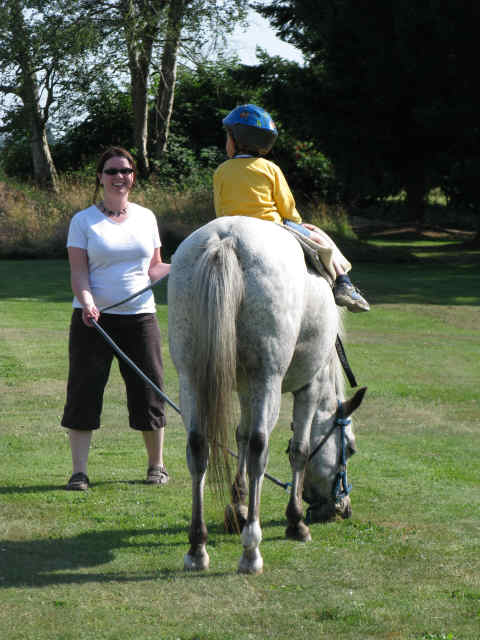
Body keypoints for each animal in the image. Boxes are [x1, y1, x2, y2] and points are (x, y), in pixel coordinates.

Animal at [167, 216, 366, 576]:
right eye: (351, 449)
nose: (342, 509)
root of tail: (225, 240)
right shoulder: (309, 386)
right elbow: (299, 450)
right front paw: (295, 521)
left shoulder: (247, 388)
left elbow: (241, 437)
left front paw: (239, 504)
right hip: (268, 377)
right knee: (261, 448)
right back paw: (251, 550)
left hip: (191, 377)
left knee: (198, 448)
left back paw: (197, 546)